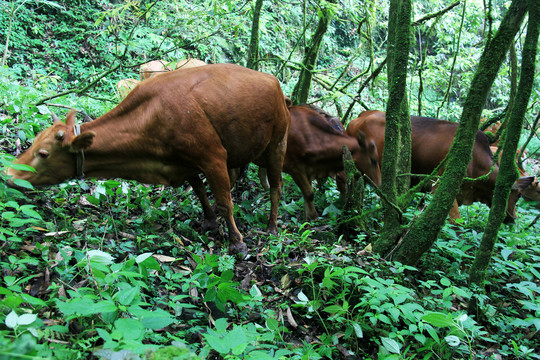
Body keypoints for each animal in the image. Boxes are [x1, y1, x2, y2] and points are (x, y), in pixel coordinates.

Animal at [5, 64, 292, 256]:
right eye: (34, 141)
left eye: (44, 153)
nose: (9, 174)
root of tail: (275, 83)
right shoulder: (185, 163)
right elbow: (200, 191)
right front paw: (209, 221)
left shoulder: (213, 157)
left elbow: (225, 203)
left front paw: (237, 242)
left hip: (278, 143)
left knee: (277, 187)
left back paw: (272, 227)